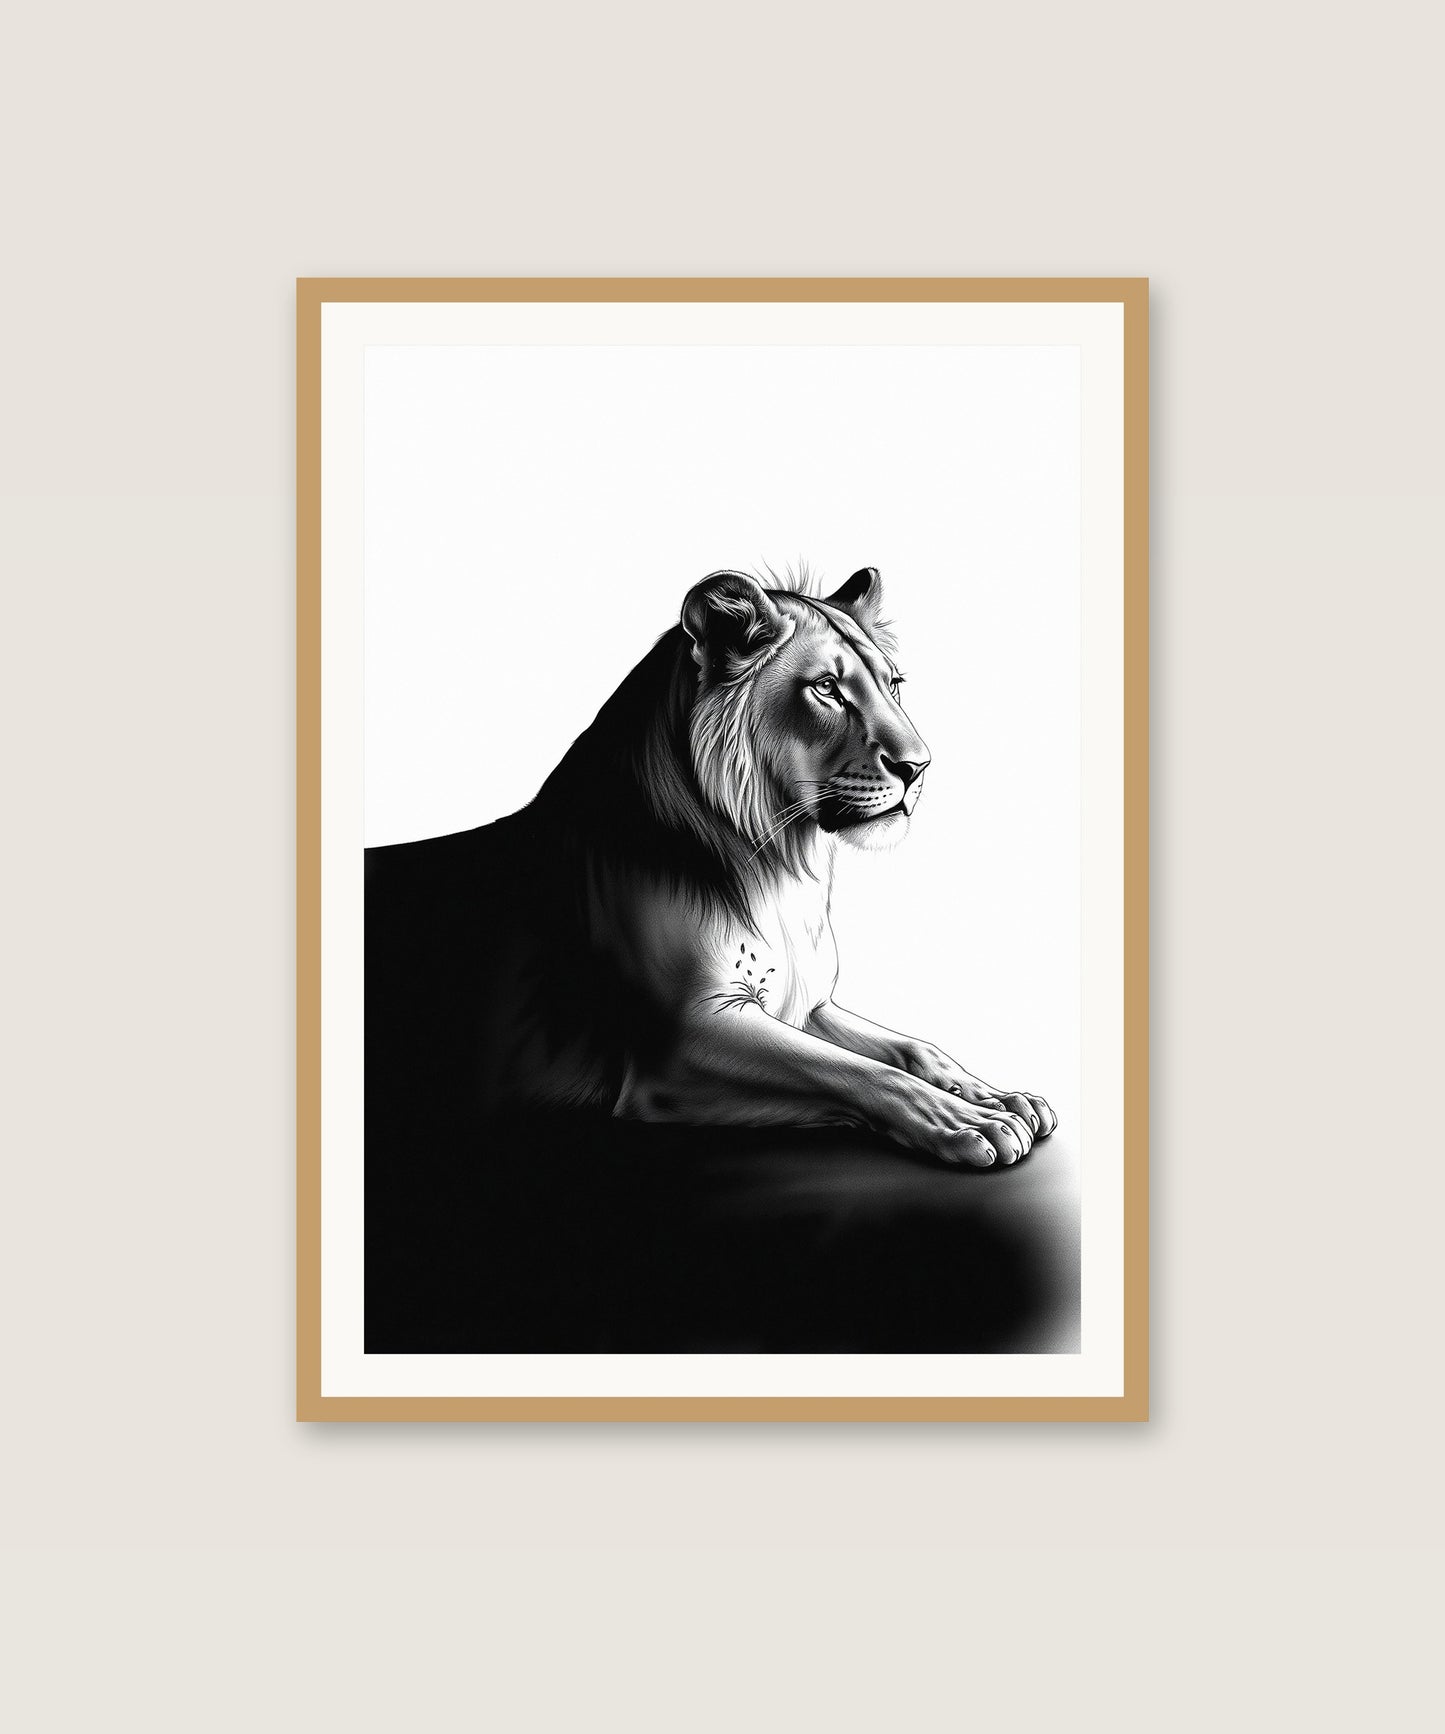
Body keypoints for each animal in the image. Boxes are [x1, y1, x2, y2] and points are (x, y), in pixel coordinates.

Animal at [364, 566, 1055, 1169]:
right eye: (827, 689)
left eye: (894, 685)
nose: (919, 766)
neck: (783, 865)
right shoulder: (683, 1039)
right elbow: (860, 1073)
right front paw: (972, 1123)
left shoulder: (806, 1004)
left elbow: (911, 1048)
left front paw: (999, 1097)